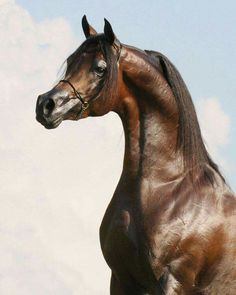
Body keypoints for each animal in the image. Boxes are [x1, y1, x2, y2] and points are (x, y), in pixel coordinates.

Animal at [35, 16, 236, 295]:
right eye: (71, 60)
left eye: (100, 68)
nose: (46, 104)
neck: (165, 186)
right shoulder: (121, 278)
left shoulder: (173, 279)